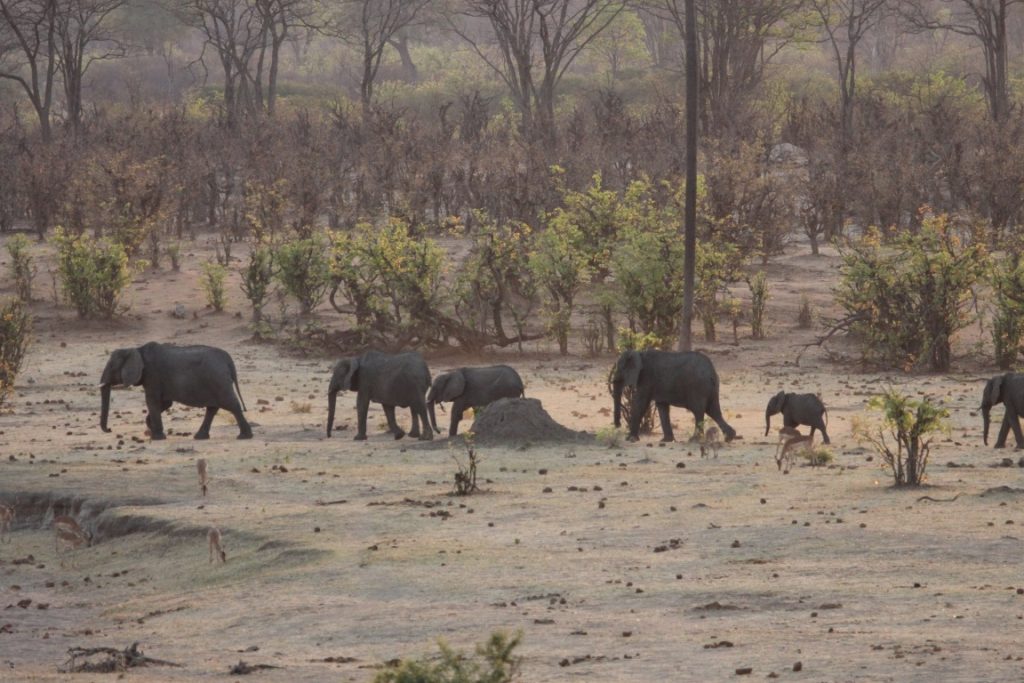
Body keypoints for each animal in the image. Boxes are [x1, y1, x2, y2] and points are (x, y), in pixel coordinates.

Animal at [100, 342, 252, 440]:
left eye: (111, 366)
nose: (109, 429)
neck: (136, 349)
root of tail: (228, 359)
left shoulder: (153, 375)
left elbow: (152, 401)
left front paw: (157, 437)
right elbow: (165, 403)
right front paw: (153, 429)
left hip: (218, 379)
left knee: (231, 404)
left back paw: (244, 437)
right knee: (212, 408)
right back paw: (200, 437)